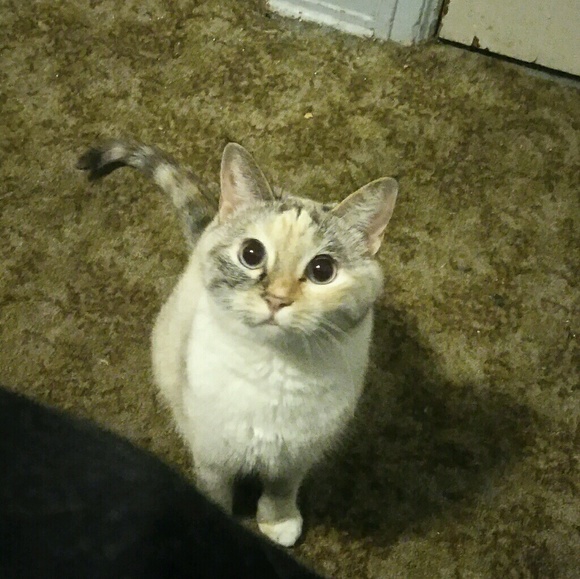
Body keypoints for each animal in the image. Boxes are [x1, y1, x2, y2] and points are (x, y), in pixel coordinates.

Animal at [78, 139, 398, 547]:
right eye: (251, 254)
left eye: (322, 270)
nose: (277, 299)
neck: (274, 369)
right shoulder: (213, 454)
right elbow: (216, 493)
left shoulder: (295, 456)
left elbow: (280, 491)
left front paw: (278, 524)